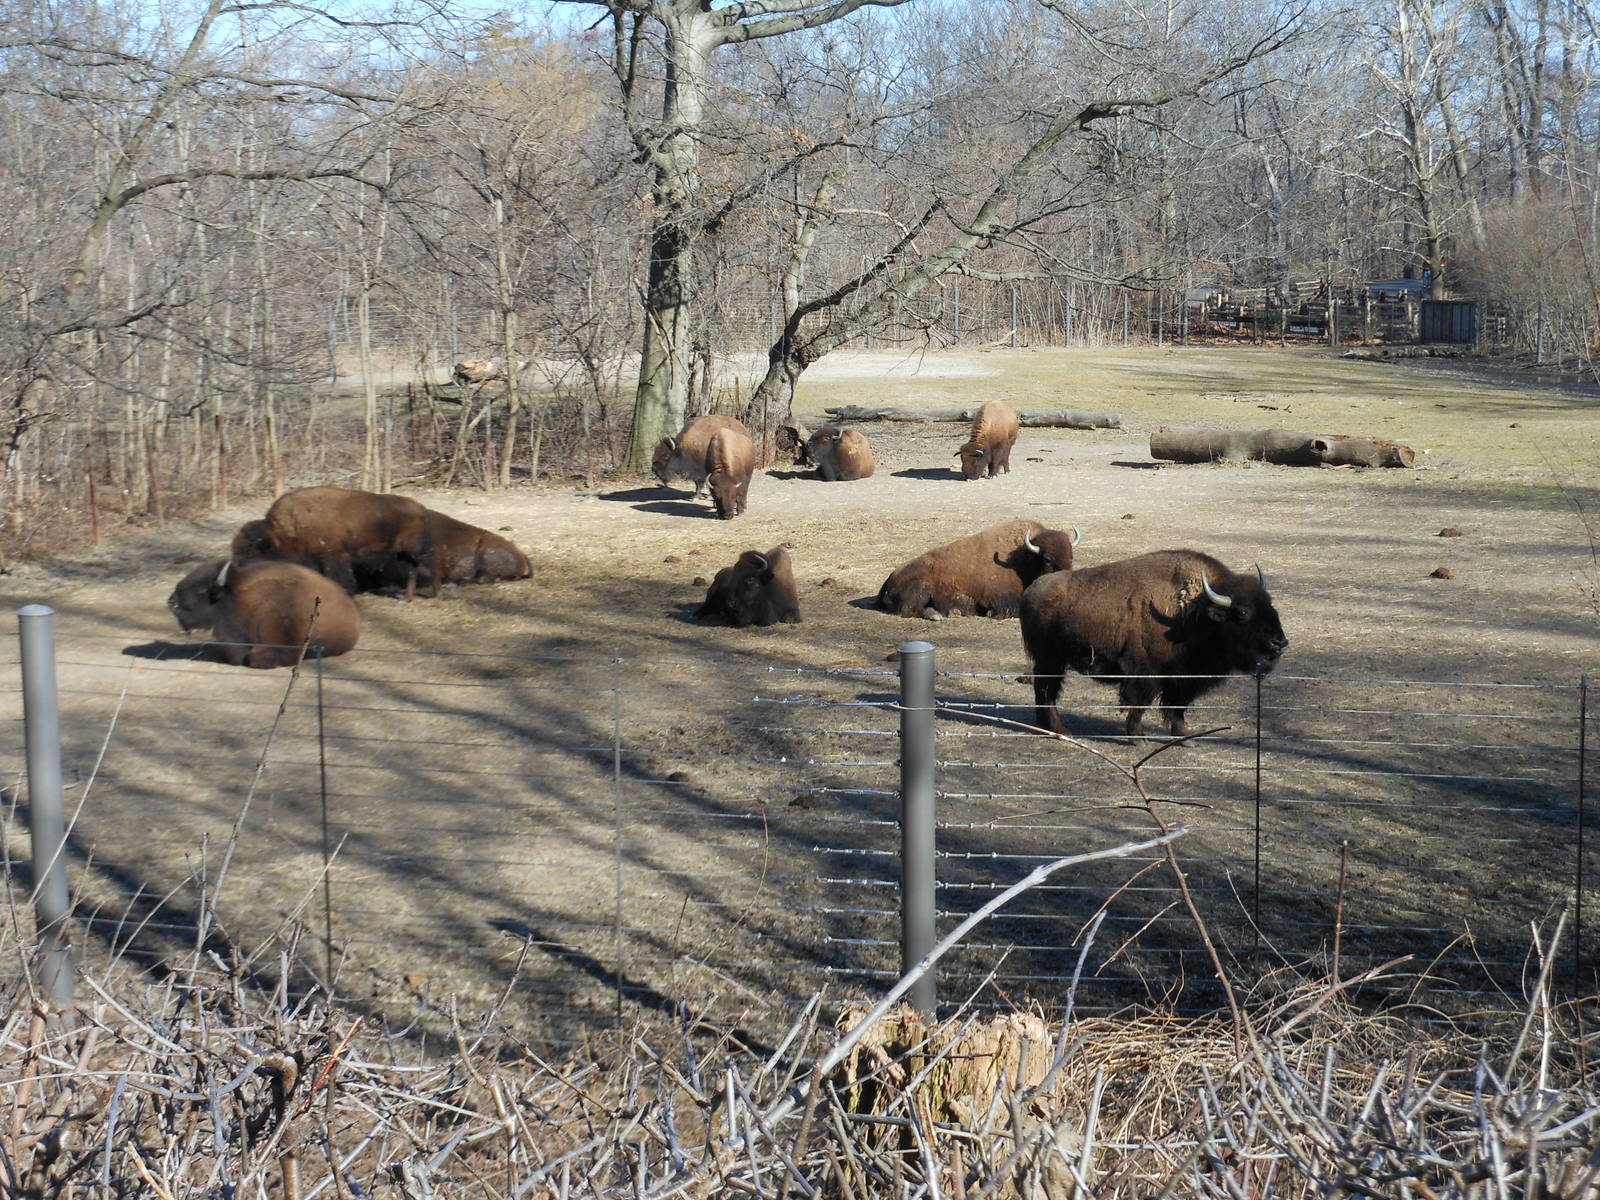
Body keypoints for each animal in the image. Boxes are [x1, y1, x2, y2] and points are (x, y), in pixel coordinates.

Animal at [877, 519, 1080, 620]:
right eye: (1047, 560)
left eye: (1071, 557)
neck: (1021, 560)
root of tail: (889, 579)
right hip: (922, 585)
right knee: (907, 610)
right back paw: (937, 615)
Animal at [1020, 549, 1289, 738]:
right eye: (1242, 612)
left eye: (1270, 604)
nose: (1280, 642)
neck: (1195, 612)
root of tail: (1031, 590)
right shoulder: (1145, 672)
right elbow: (1140, 702)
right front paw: (1138, 737)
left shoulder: (1183, 678)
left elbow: (1177, 706)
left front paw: (1183, 736)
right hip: (1051, 659)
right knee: (1047, 689)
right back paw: (1061, 729)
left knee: (1043, 689)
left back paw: (1045, 725)